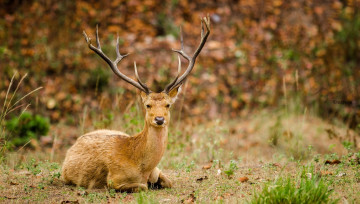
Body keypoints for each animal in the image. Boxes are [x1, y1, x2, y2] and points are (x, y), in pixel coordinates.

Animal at [60, 16, 210, 193]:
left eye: (168, 105)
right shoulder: (114, 180)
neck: (142, 167)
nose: (159, 119)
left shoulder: (157, 170)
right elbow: (143, 187)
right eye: (148, 105)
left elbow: (169, 182)